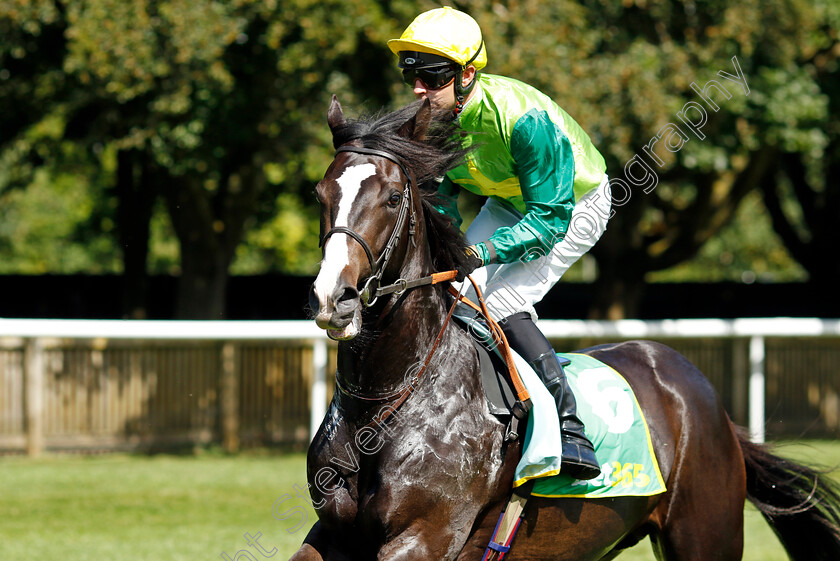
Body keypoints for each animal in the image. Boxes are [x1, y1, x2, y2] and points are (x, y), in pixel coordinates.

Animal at [296, 97, 840, 560]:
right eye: (320, 194)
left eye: (392, 197)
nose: (334, 299)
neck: (387, 398)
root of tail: (711, 404)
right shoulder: (332, 534)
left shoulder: (422, 537)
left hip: (706, 535)